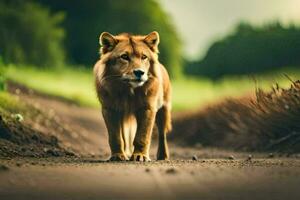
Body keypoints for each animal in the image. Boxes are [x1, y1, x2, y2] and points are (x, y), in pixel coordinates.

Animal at [94, 31, 173, 162]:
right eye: (124, 57)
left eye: (144, 57)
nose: (140, 72)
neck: (128, 91)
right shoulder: (110, 109)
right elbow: (115, 137)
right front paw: (117, 156)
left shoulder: (147, 109)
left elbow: (142, 136)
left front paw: (140, 156)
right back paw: (126, 153)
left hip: (163, 109)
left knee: (162, 134)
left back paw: (163, 156)